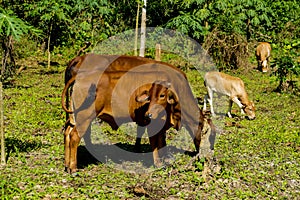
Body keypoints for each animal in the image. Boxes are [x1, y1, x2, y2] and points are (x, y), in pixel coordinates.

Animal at [62, 54, 214, 173]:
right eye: (211, 135)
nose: (210, 153)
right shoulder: (154, 122)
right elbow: (156, 142)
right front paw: (158, 162)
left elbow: (160, 140)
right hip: (84, 117)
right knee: (75, 136)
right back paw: (74, 167)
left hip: (74, 117)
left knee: (67, 133)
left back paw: (67, 165)